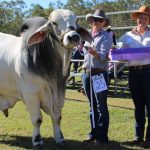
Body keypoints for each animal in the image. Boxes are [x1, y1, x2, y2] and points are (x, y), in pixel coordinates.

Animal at [0, 8, 92, 148]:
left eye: (76, 21)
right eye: (54, 23)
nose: (74, 37)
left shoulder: (59, 94)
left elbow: (57, 118)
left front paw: (59, 138)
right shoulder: (31, 94)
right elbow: (37, 120)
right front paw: (37, 140)